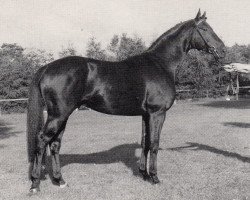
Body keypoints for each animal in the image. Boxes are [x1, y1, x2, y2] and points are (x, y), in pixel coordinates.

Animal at [26, 10, 227, 193]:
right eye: (204, 28)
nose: (223, 50)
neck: (160, 64)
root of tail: (46, 67)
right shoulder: (157, 113)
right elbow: (154, 144)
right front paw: (155, 178)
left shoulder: (146, 115)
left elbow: (145, 142)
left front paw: (144, 174)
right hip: (58, 115)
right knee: (42, 140)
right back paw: (35, 184)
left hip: (62, 115)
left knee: (54, 144)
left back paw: (60, 181)